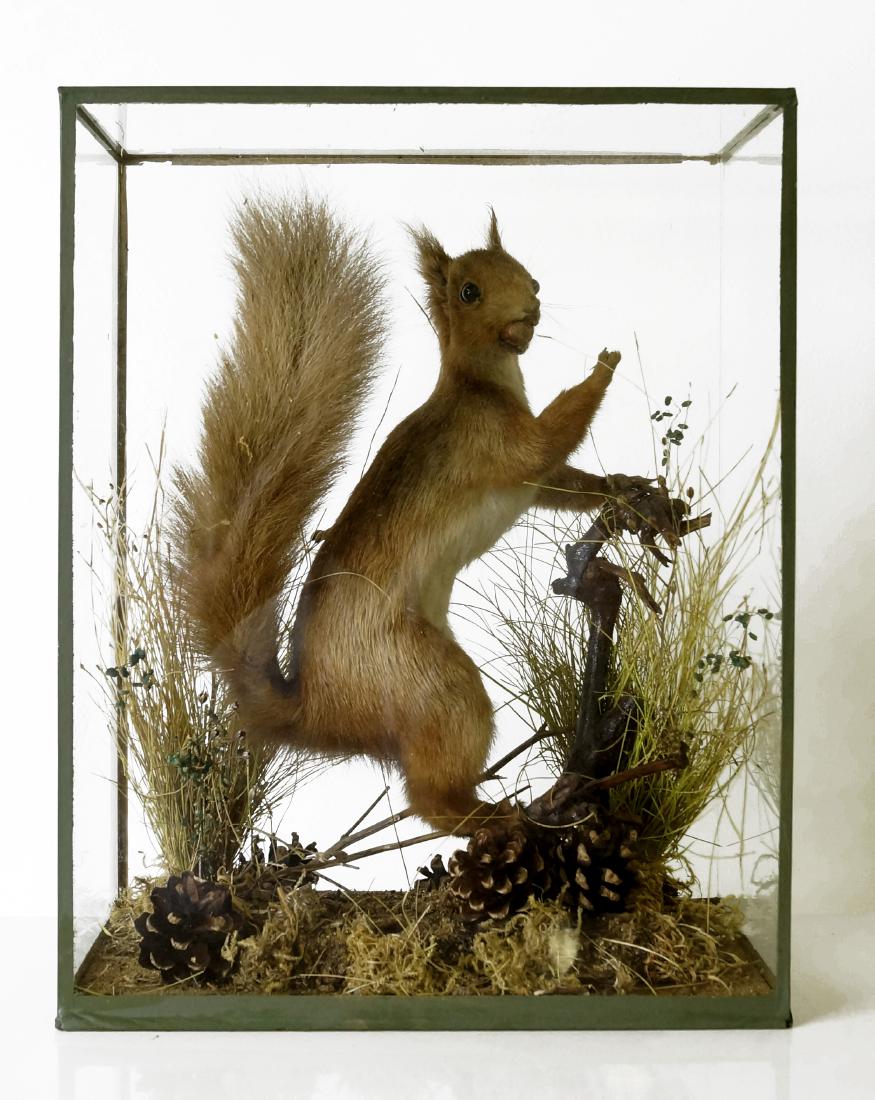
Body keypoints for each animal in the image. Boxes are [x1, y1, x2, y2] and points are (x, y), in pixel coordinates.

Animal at [172, 193, 649, 836]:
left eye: (530, 274)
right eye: (468, 291)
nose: (531, 304)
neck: (483, 384)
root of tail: (321, 712)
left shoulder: (528, 479)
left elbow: (564, 482)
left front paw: (624, 489)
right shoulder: (495, 443)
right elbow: (551, 438)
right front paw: (603, 366)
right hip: (436, 687)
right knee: (427, 796)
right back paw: (498, 815)